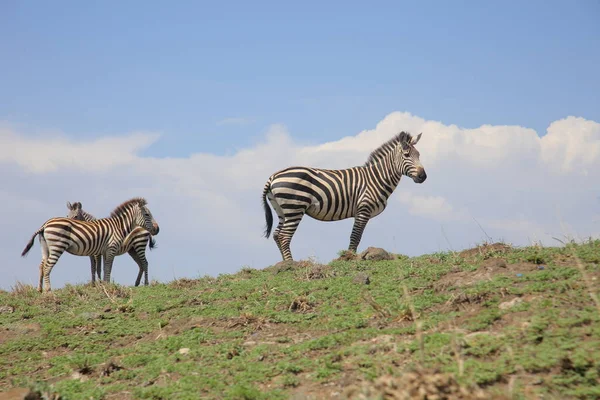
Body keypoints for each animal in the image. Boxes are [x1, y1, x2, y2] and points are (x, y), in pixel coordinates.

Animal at [21, 198, 159, 292]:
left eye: (75, 216)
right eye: (147, 214)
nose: (157, 229)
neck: (118, 226)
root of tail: (44, 225)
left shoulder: (102, 251)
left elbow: (102, 268)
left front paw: (102, 284)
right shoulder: (109, 249)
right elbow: (104, 268)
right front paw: (104, 285)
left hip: (135, 248)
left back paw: (39, 289)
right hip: (57, 246)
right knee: (47, 266)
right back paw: (48, 291)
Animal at [262, 132, 426, 262]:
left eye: (418, 155)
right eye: (406, 155)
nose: (423, 176)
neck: (376, 178)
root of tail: (273, 176)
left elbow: (355, 237)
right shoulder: (363, 209)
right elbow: (355, 237)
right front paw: (350, 259)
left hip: (282, 210)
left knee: (277, 235)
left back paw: (284, 263)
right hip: (294, 207)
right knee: (284, 236)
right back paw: (291, 265)